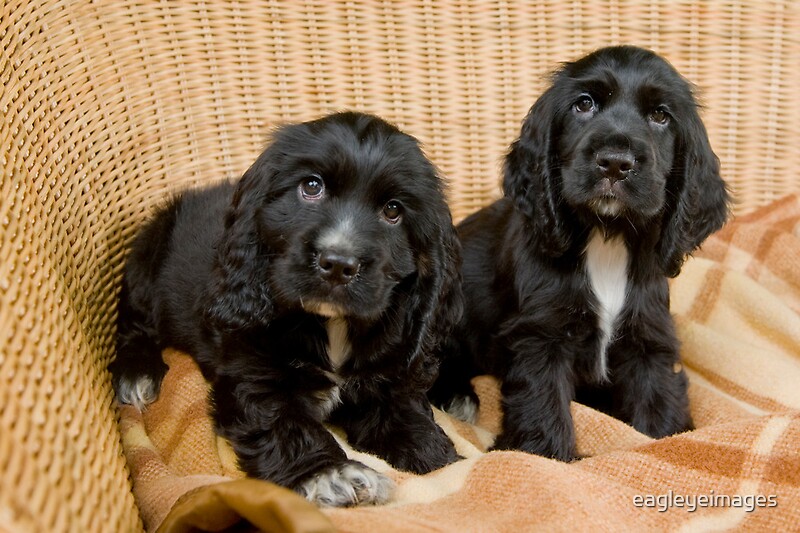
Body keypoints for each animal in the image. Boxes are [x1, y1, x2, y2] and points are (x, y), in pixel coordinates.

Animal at [112, 111, 462, 502]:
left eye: (393, 210)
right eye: (311, 186)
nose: (338, 264)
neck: (332, 324)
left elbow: (403, 411)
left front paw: (434, 453)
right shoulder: (253, 377)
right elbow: (284, 424)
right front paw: (331, 475)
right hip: (147, 255)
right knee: (135, 322)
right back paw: (137, 372)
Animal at [432, 45, 732, 462]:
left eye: (660, 115)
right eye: (584, 104)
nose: (616, 163)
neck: (607, 239)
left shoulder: (648, 336)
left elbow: (658, 398)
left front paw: (669, 441)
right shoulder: (540, 337)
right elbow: (543, 405)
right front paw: (545, 455)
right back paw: (457, 395)